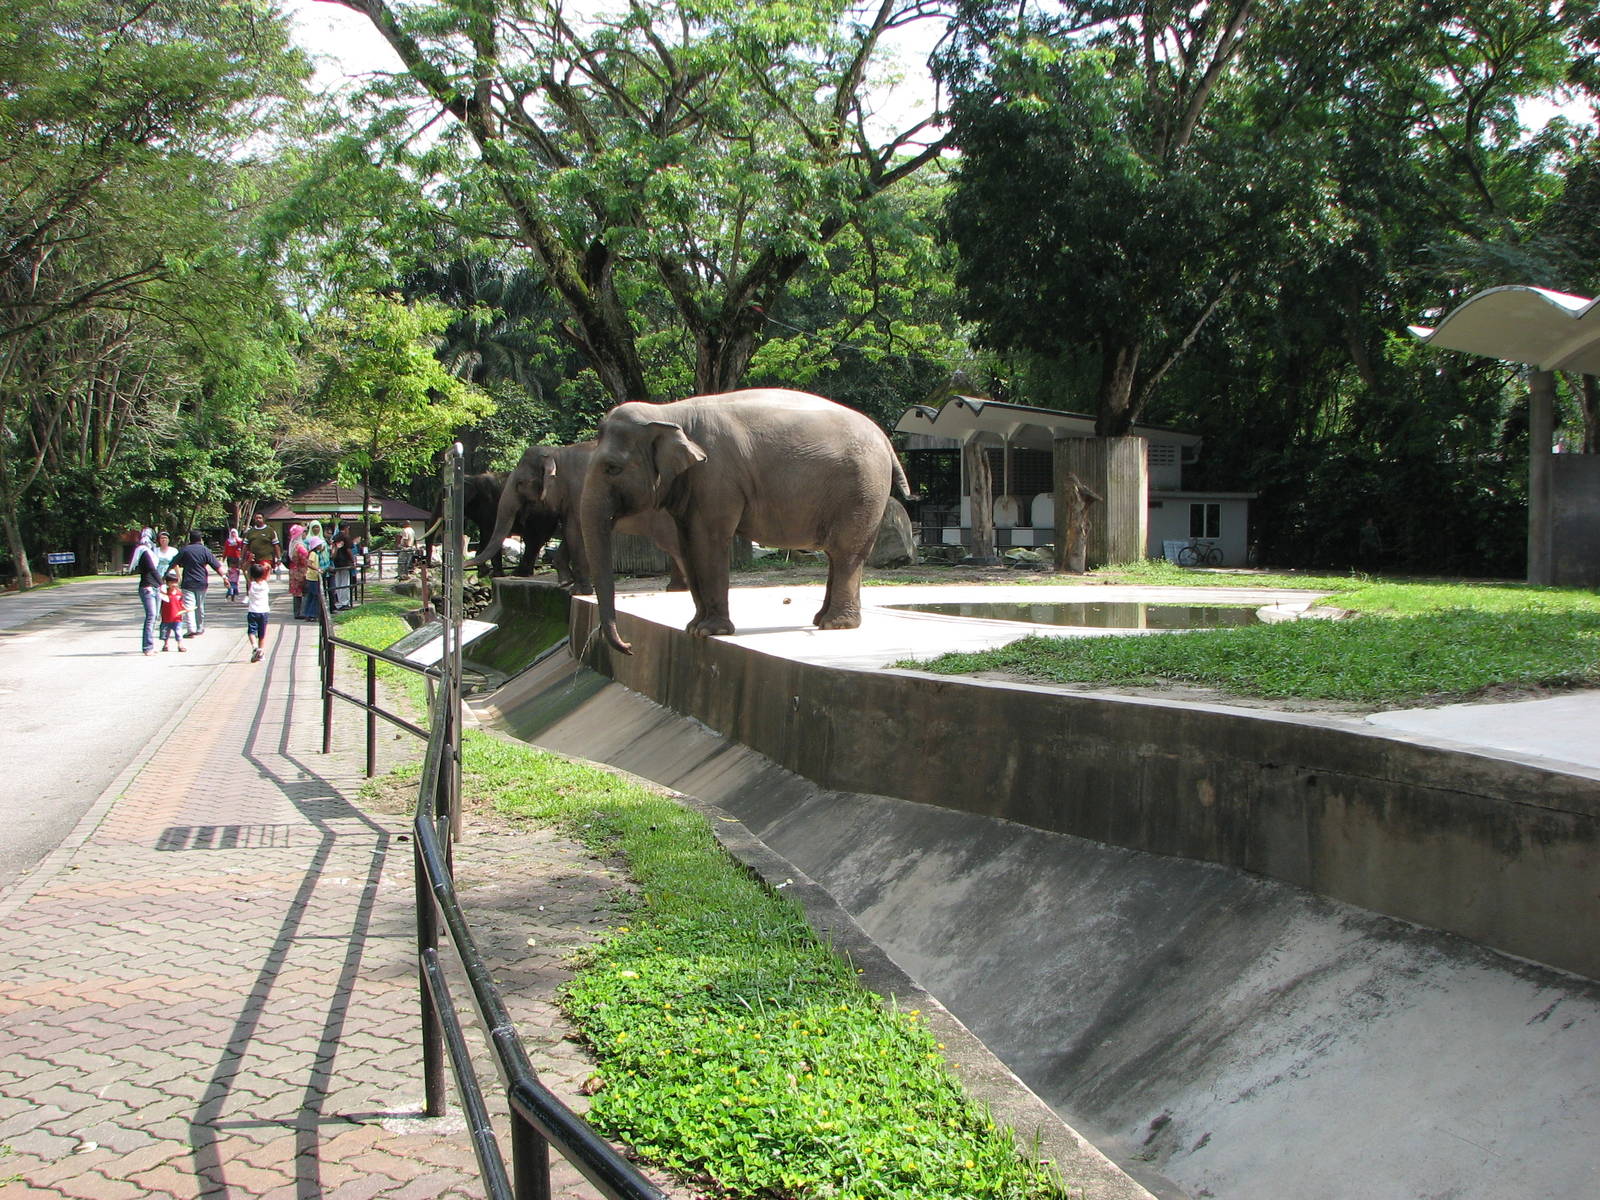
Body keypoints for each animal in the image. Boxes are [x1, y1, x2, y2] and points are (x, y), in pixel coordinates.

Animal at [470, 442, 686, 593]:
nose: (483, 573)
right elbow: (569, 530)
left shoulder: (581, 489)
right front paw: (565, 582)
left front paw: (579, 591)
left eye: (520, 483)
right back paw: (675, 588)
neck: (557, 453)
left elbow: (575, 530)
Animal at [581, 387, 911, 654]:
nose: (629, 646)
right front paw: (693, 628)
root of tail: (885, 439)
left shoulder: (715, 477)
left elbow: (709, 540)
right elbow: (688, 544)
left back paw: (835, 625)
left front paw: (709, 631)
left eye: (612, 468)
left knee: (846, 553)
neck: (667, 412)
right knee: (836, 555)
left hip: (862, 489)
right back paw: (821, 620)